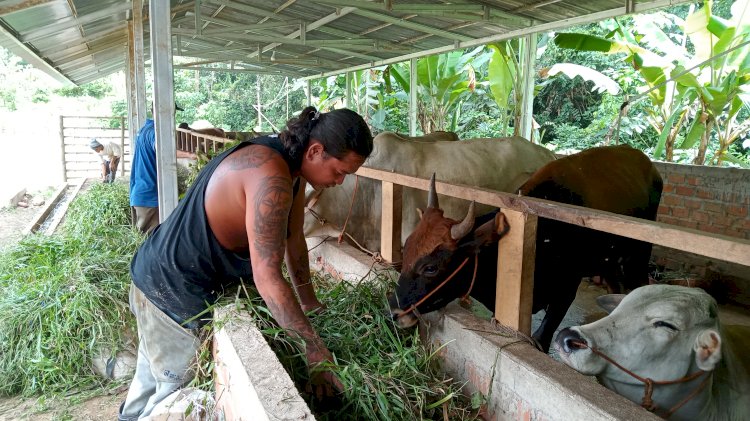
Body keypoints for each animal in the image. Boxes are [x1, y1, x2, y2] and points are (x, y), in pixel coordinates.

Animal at [388, 144, 664, 352]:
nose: (394, 311)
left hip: (639, 256)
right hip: (608, 262)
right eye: (406, 248)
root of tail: (649, 166)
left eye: (431, 268)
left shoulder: (566, 290)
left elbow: (541, 340)